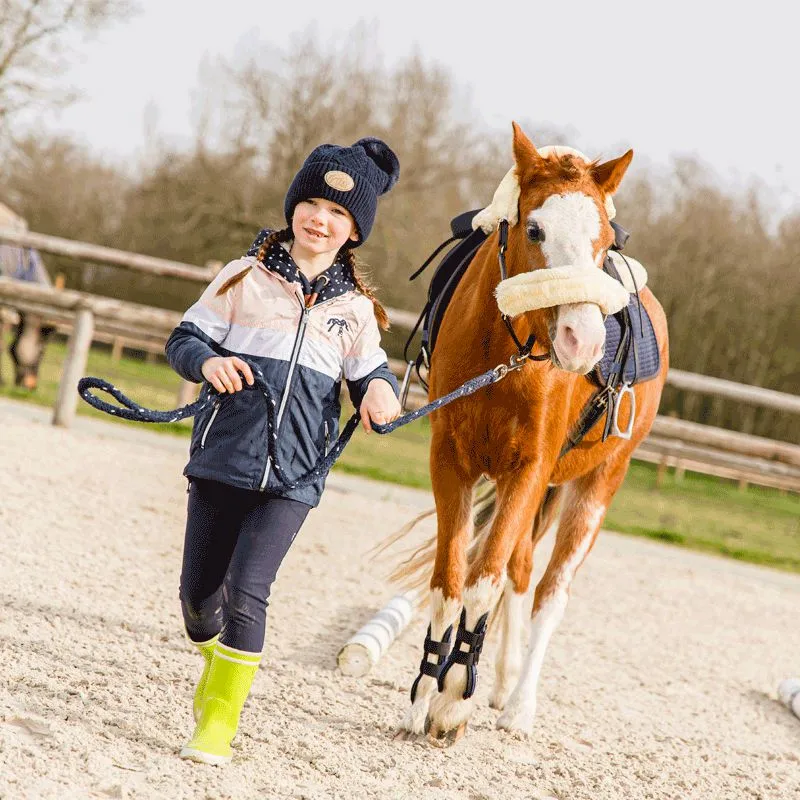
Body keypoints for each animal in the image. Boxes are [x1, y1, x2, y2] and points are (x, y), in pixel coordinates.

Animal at [394, 123, 668, 744]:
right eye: (536, 229)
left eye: (602, 240)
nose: (583, 341)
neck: (505, 352)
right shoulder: (451, 462)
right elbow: (453, 581)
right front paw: (426, 693)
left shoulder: (530, 469)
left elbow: (484, 580)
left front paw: (452, 700)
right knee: (519, 576)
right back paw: (500, 681)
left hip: (597, 484)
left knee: (549, 592)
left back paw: (519, 707)